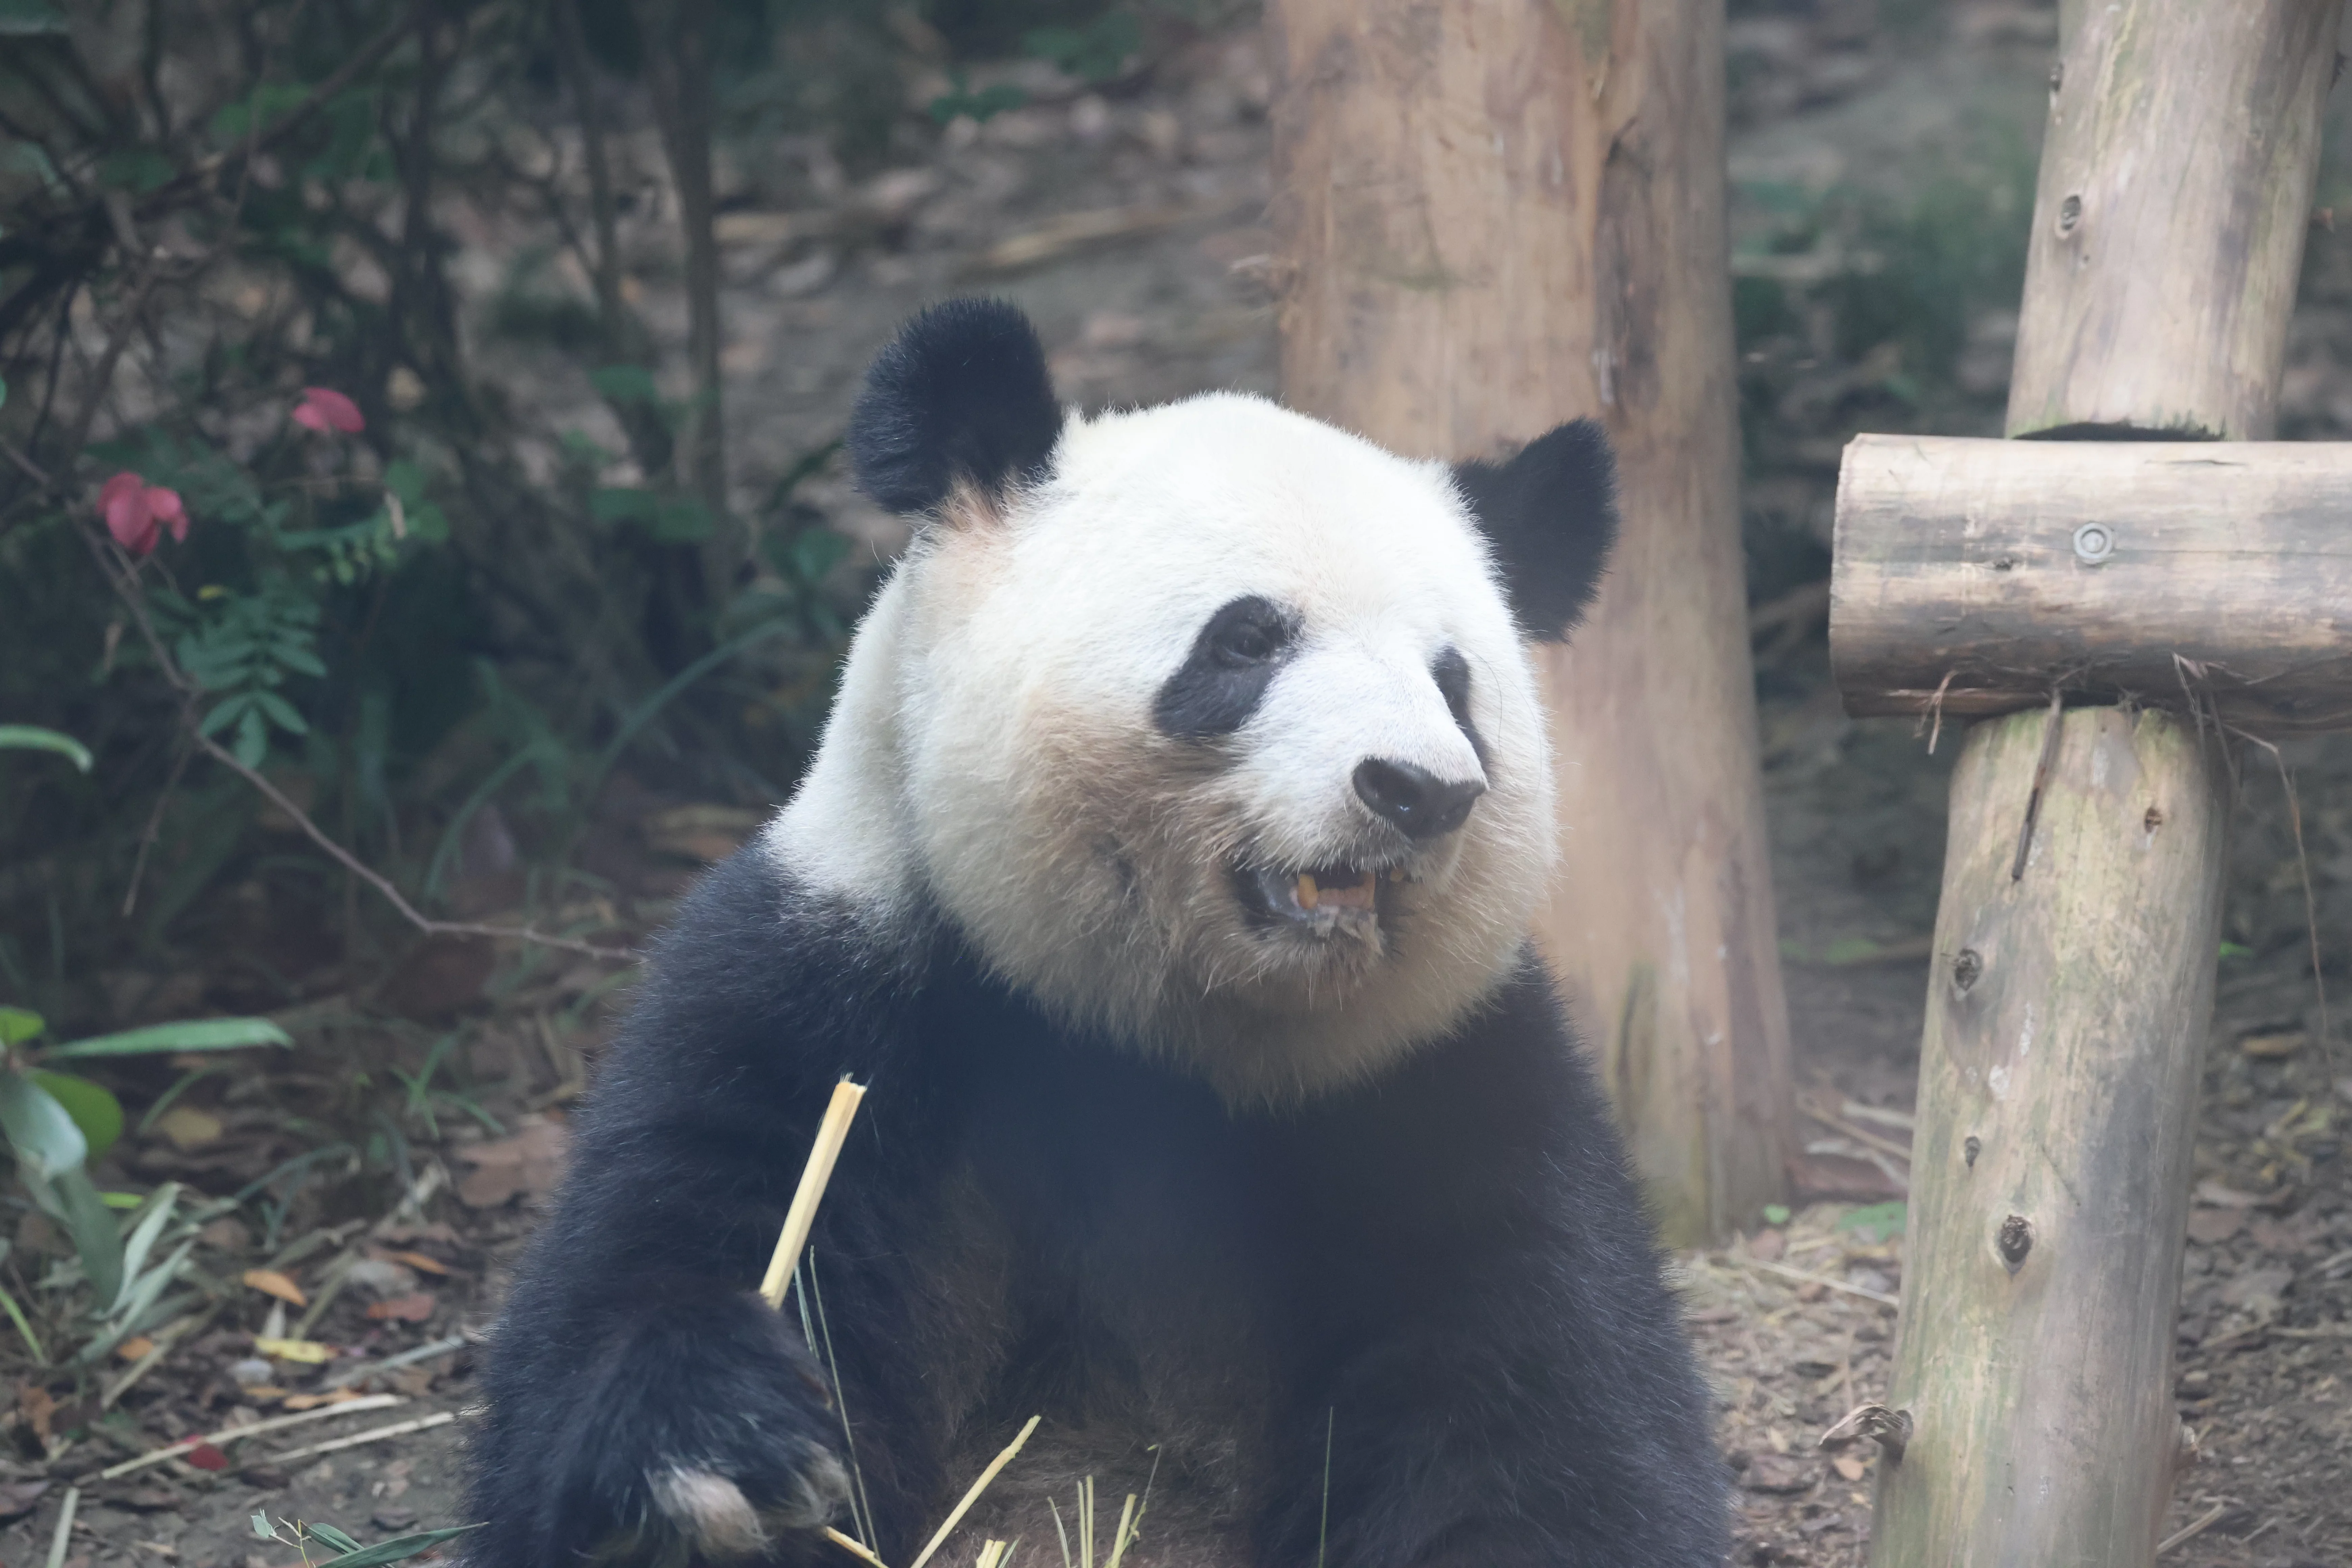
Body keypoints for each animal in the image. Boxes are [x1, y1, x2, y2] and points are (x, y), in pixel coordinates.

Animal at [467, 300, 1729, 1568]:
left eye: (1455, 682)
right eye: (1248, 640)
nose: (1420, 790)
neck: (1159, 1027)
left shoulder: (1444, 1076)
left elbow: (1536, 1399)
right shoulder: (840, 980)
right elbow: (666, 1249)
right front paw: (718, 1457)